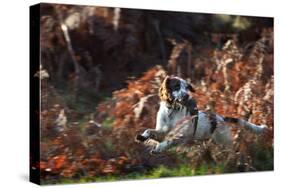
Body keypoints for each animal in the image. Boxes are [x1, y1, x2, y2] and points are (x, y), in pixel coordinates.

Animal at [135, 75, 266, 153]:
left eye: (187, 88)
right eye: (176, 86)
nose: (186, 96)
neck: (171, 111)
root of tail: (220, 117)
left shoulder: (182, 136)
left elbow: (168, 141)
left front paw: (159, 148)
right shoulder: (162, 131)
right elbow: (149, 131)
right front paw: (142, 137)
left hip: (224, 142)